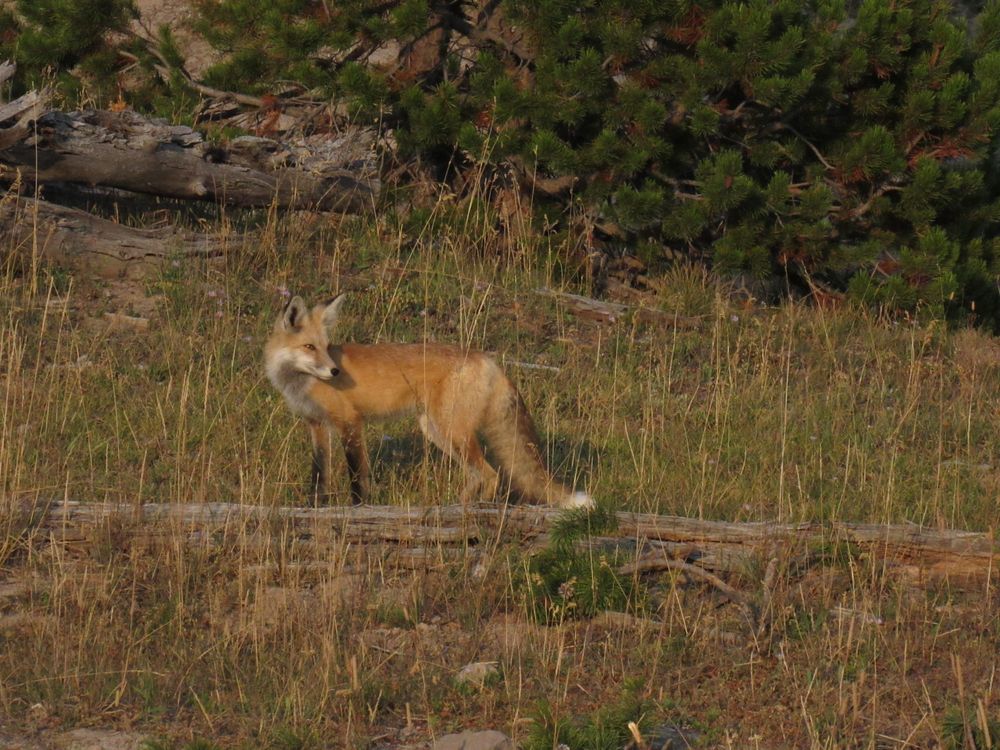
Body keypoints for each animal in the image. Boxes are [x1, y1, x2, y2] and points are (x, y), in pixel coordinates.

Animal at [264, 294, 594, 510]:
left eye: (325, 347)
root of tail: (489, 360)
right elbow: (318, 475)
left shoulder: (350, 423)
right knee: (479, 475)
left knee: (491, 474)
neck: (301, 383)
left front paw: (357, 510)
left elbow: (358, 477)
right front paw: (314, 509)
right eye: (309, 347)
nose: (334, 371)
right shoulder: (317, 425)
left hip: (452, 431)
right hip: (436, 431)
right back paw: (455, 507)